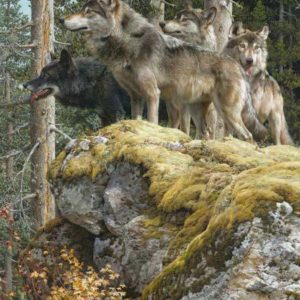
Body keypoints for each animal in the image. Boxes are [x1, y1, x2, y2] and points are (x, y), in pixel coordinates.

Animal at [60, 0, 264, 142]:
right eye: (83, 9)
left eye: (88, 11)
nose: (62, 19)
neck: (127, 42)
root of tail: (237, 65)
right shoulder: (136, 96)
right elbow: (137, 119)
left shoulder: (153, 94)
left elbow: (152, 122)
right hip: (198, 110)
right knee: (207, 133)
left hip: (226, 112)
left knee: (247, 136)